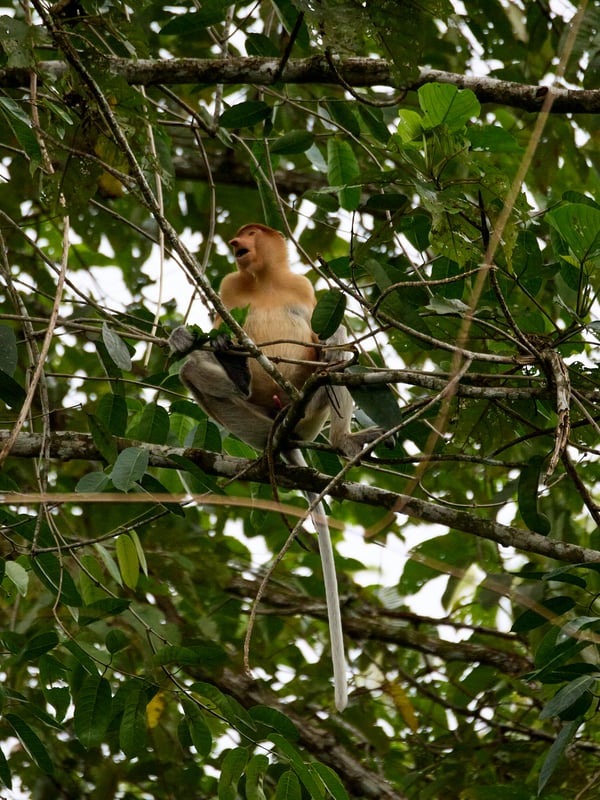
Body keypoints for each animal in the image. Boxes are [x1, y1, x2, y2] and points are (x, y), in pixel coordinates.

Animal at [169, 223, 379, 711]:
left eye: (249, 233)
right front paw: (189, 338)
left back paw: (341, 438)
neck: (263, 278)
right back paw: (241, 381)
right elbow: (213, 329)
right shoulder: (228, 285)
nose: (235, 242)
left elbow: (325, 327)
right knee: (195, 369)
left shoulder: (301, 286)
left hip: (310, 414)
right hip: (258, 414)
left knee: (335, 353)